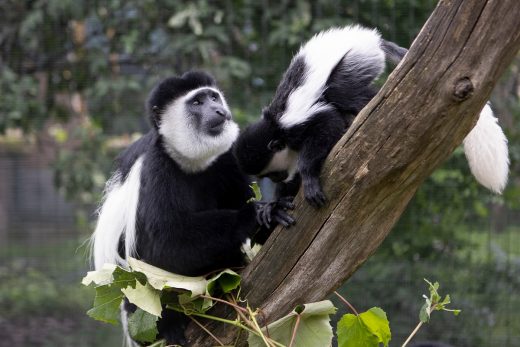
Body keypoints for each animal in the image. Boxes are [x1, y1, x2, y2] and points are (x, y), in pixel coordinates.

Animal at [91, 70, 290, 346]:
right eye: (197, 102)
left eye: (213, 97)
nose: (218, 110)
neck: (193, 163)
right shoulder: (158, 170)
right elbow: (167, 246)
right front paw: (253, 215)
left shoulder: (227, 158)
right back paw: (171, 327)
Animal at [234, 26, 510, 209]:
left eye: (275, 174)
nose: (280, 179)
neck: (275, 127)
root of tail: (370, 38)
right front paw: (275, 205)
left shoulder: (297, 124)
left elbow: (327, 124)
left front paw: (308, 178)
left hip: (356, 60)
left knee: (343, 91)